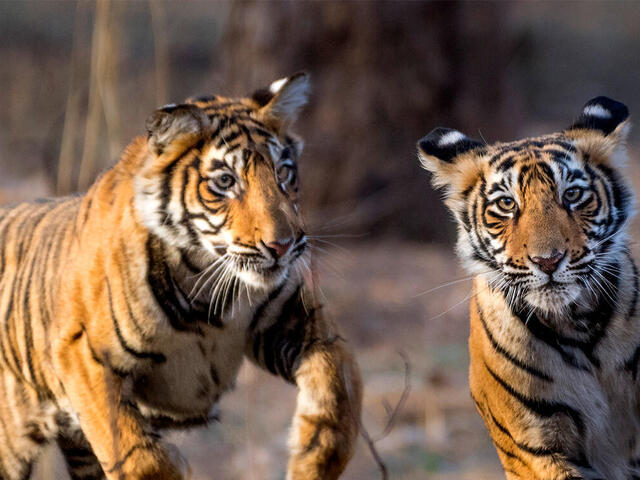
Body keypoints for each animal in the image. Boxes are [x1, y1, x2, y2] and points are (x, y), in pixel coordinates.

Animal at [0, 72, 362, 480]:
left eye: (283, 172)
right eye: (225, 181)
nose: (282, 246)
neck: (208, 284)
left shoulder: (298, 321)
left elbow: (338, 391)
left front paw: (308, 460)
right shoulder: (85, 354)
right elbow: (136, 454)